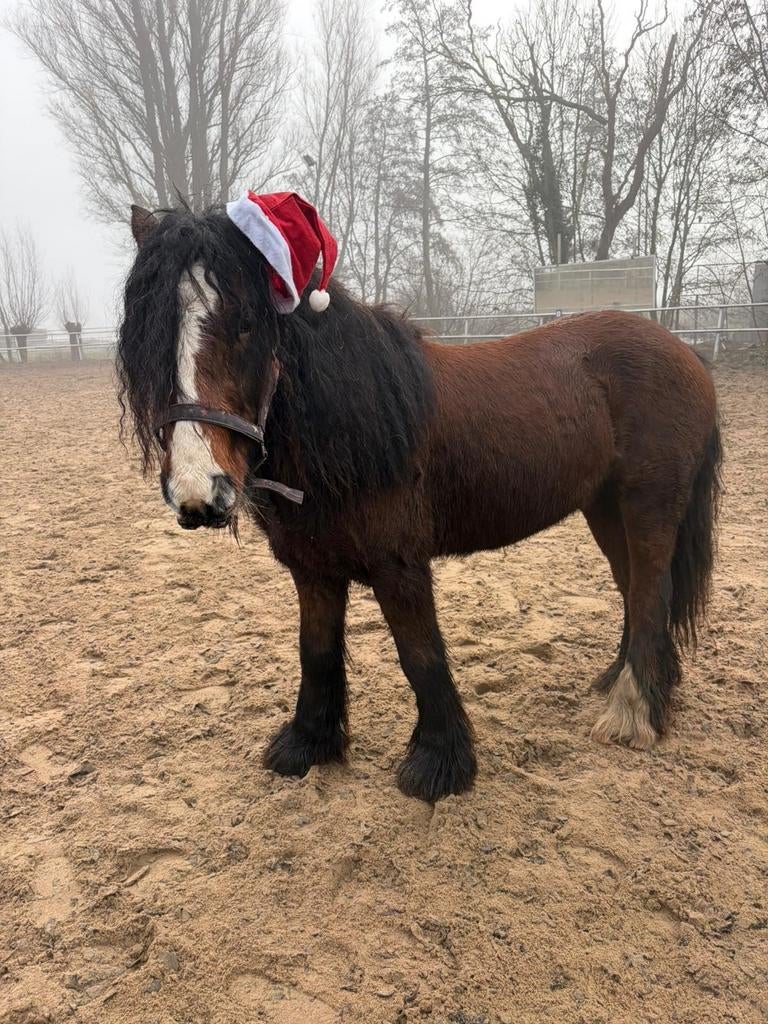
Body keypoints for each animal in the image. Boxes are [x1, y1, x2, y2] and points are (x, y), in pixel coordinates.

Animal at [117, 205, 721, 803]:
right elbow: (315, 650)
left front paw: (438, 763)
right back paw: (627, 682)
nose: (199, 491)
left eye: (246, 323)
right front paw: (308, 744)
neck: (352, 426)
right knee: (633, 589)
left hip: (648, 506)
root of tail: (684, 351)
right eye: (146, 335)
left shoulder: (399, 565)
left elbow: (420, 654)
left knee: (650, 591)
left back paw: (634, 710)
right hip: (604, 509)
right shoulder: (311, 568)